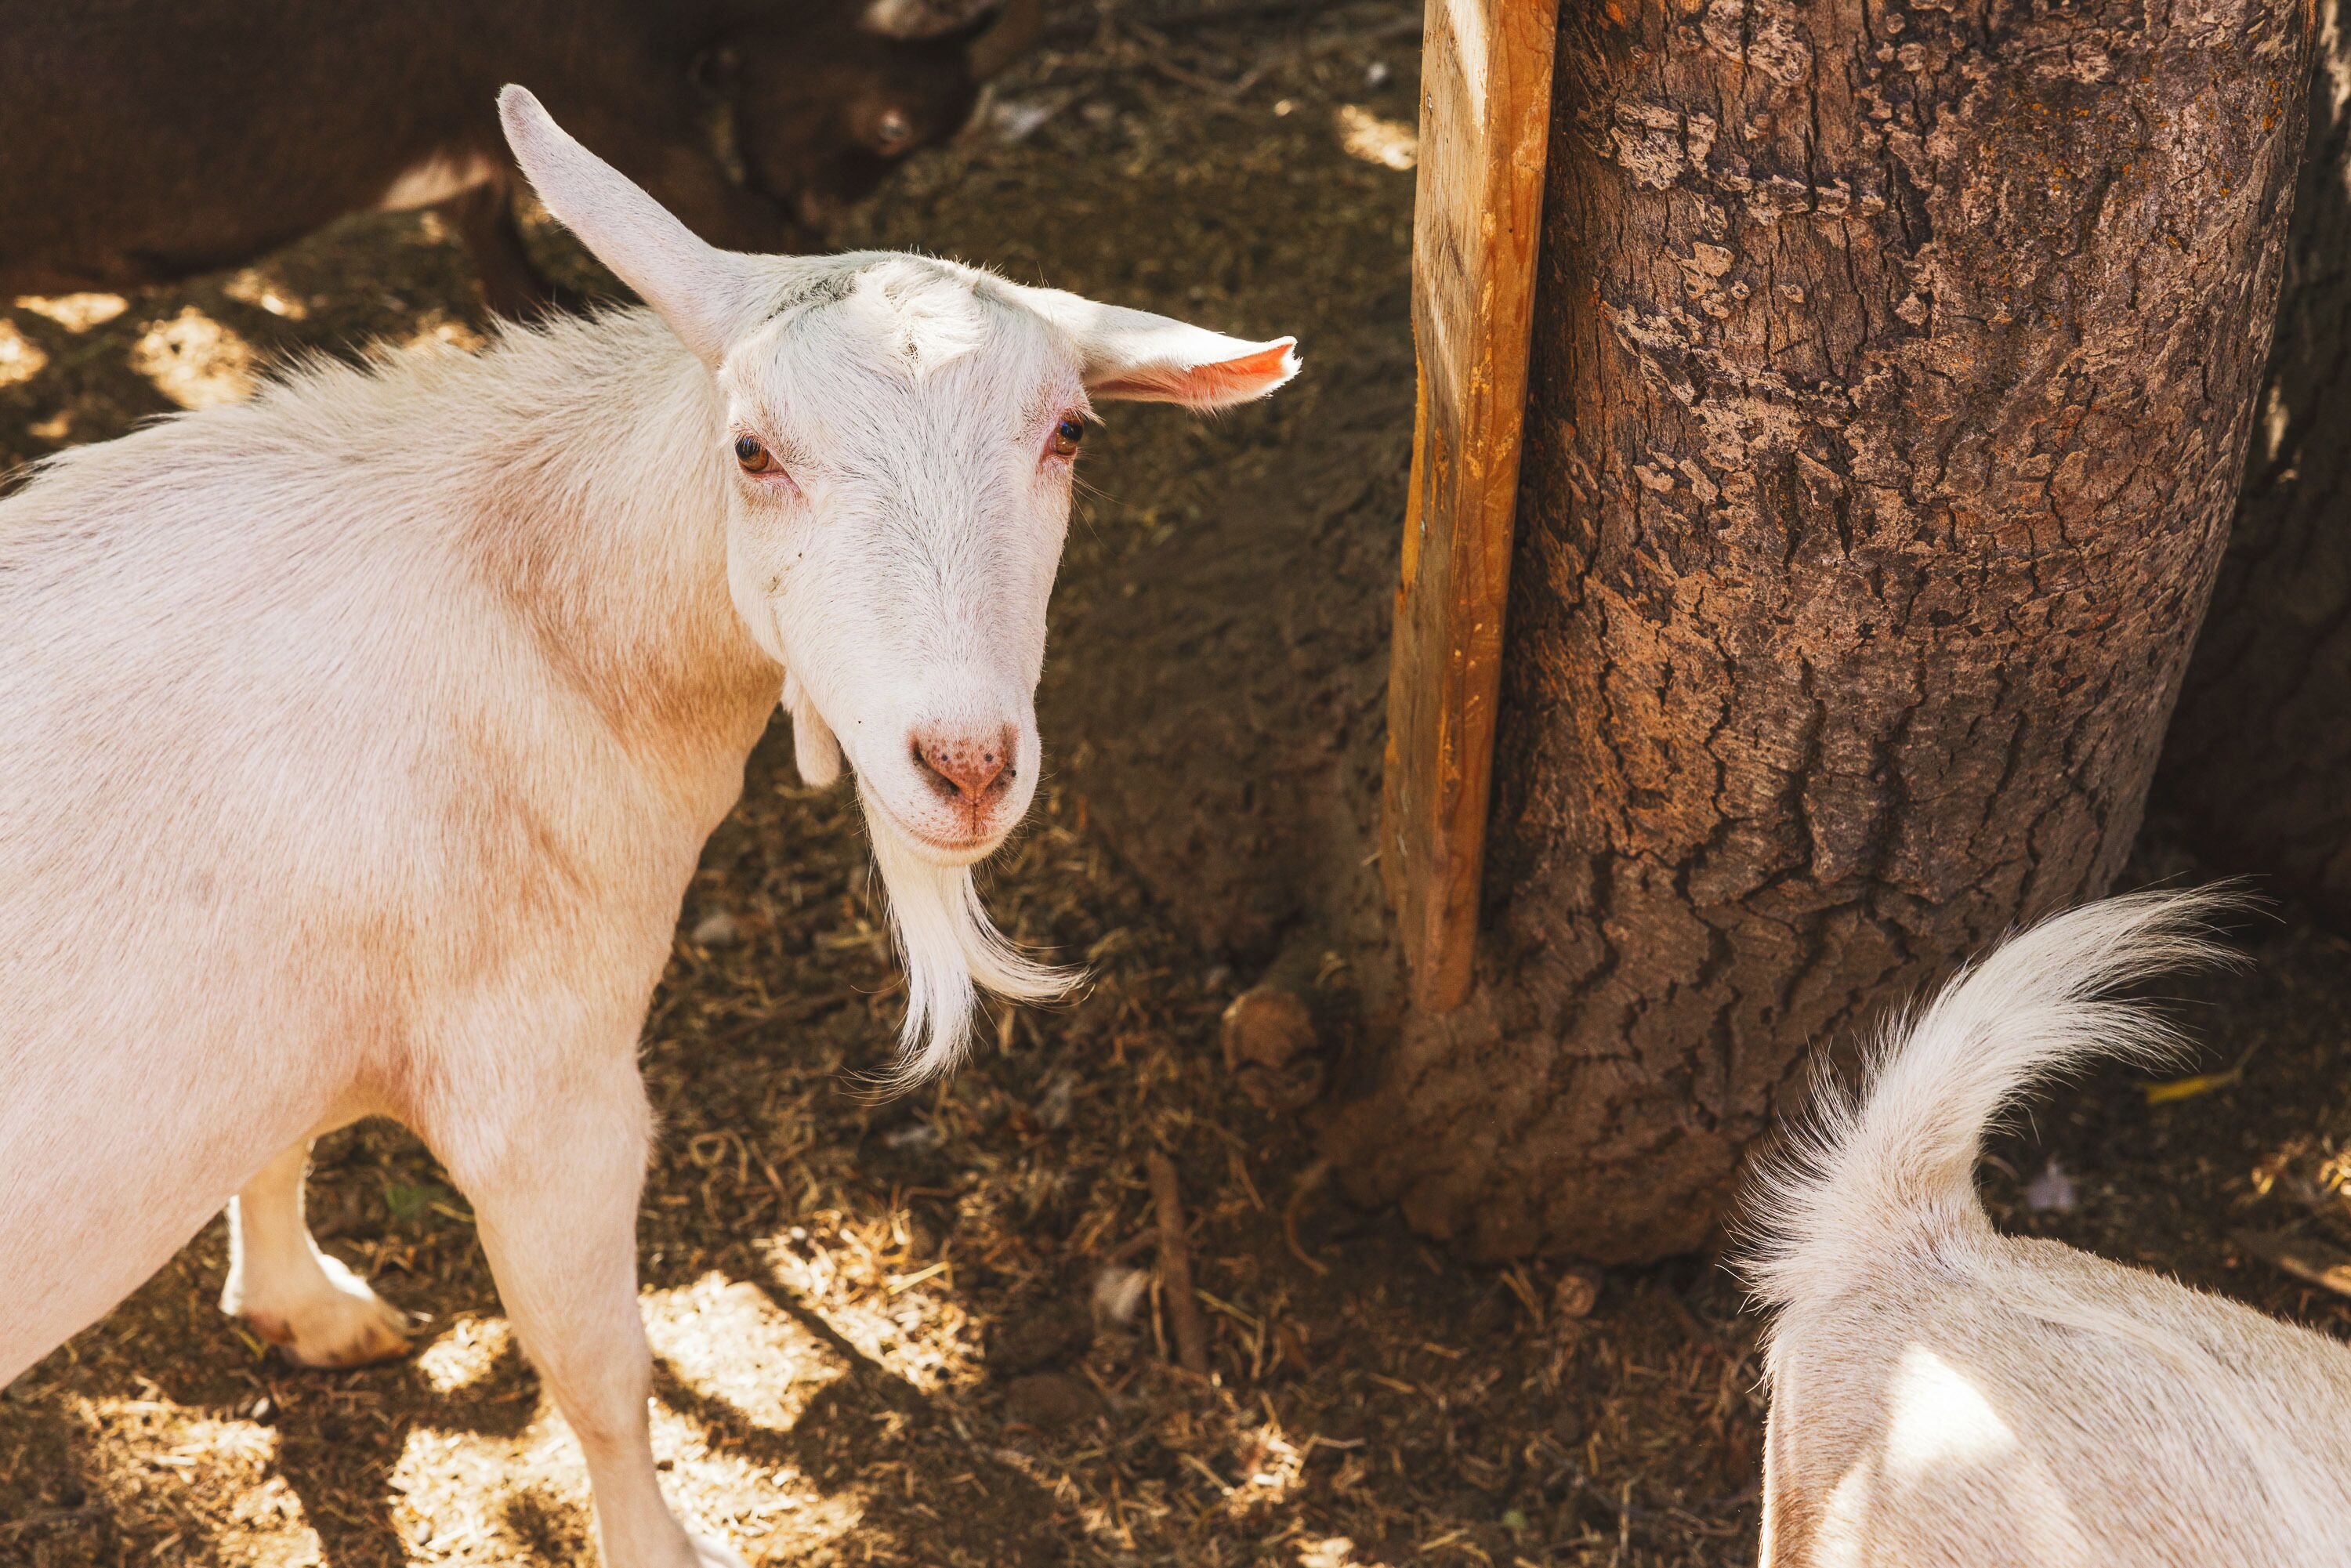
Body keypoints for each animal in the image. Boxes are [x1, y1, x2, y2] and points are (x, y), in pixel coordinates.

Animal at [0, 86, 1296, 1568]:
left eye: (1071, 434)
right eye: (753, 450)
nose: (966, 765)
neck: (533, 607)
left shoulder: (278, 996)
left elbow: (279, 1140)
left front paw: (302, 1306)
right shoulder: (549, 1083)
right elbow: (602, 1374)